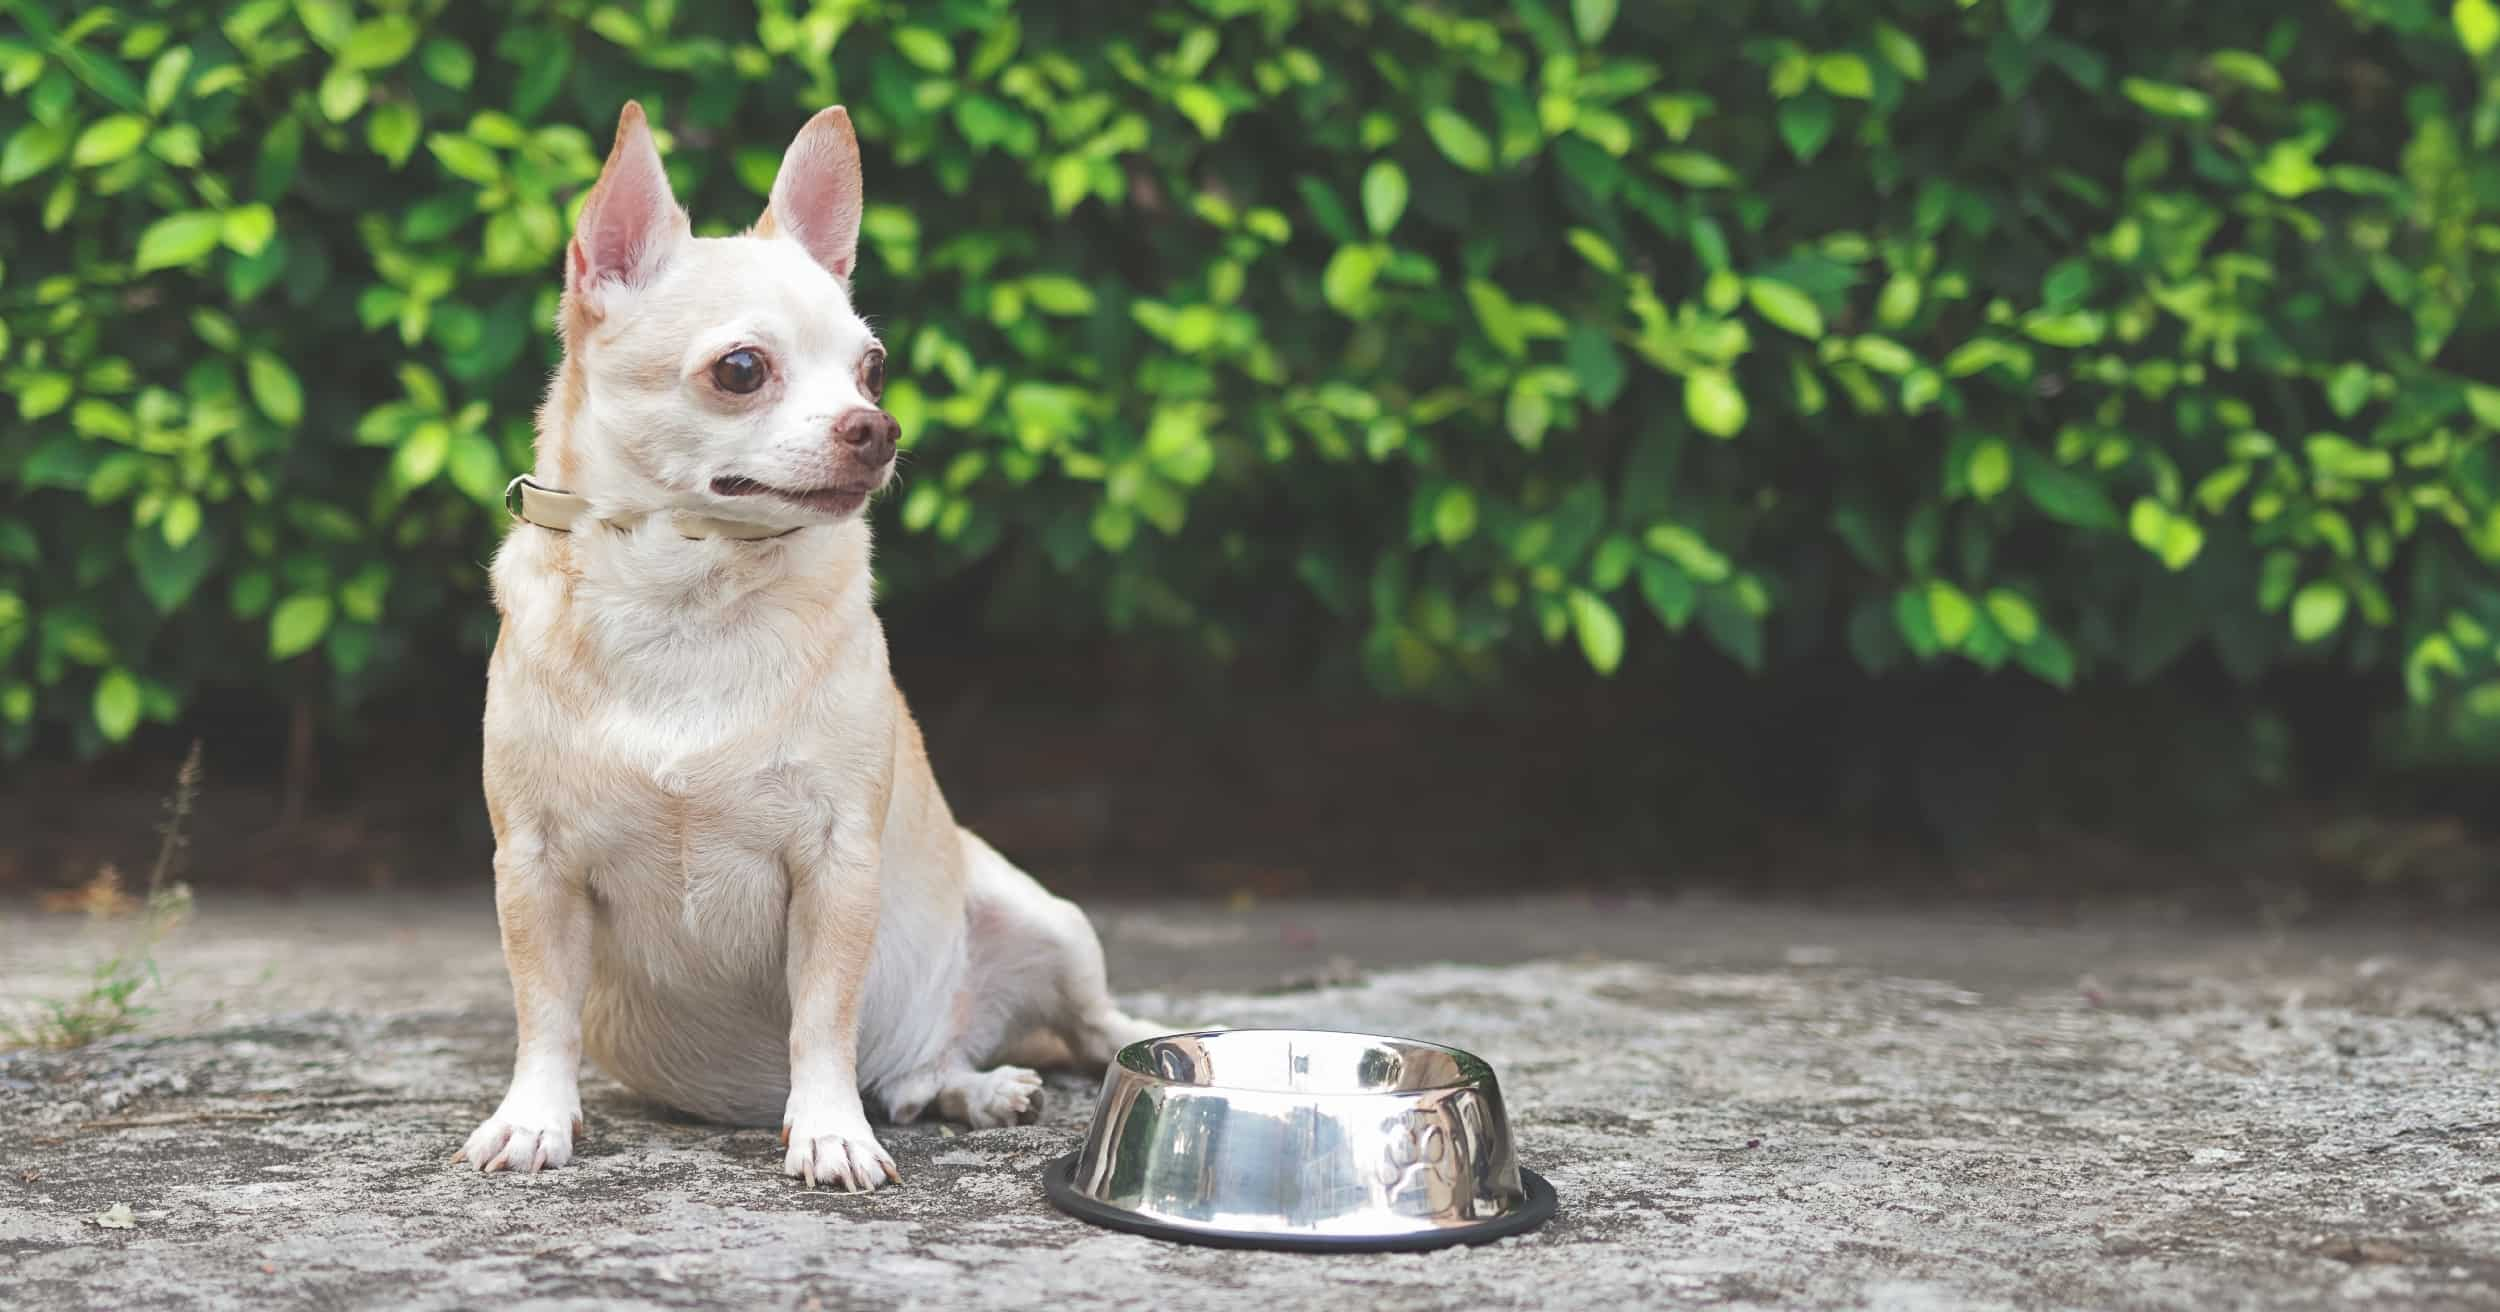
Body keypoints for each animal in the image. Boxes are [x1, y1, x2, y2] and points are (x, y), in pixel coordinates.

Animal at [460, 102, 1160, 1184]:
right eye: (741, 370)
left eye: (872, 368)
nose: (878, 424)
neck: (694, 593)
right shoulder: (535, 866)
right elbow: (545, 1010)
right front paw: (535, 1116)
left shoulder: (836, 866)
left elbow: (823, 1013)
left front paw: (829, 1130)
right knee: (924, 1072)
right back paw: (966, 1088)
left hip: (1047, 919)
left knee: (1084, 1027)